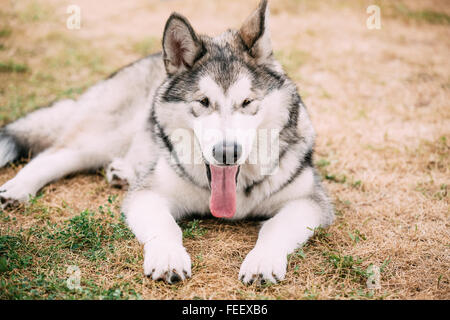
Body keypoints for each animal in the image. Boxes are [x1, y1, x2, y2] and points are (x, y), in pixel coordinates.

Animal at [0, 0, 334, 284]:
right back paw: (18, 187)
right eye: (203, 102)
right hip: (97, 140)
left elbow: (275, 227)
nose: (227, 153)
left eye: (247, 102)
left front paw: (262, 261)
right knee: (54, 154)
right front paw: (169, 258)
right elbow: (166, 227)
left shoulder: (309, 201)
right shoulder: (149, 194)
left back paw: (122, 171)